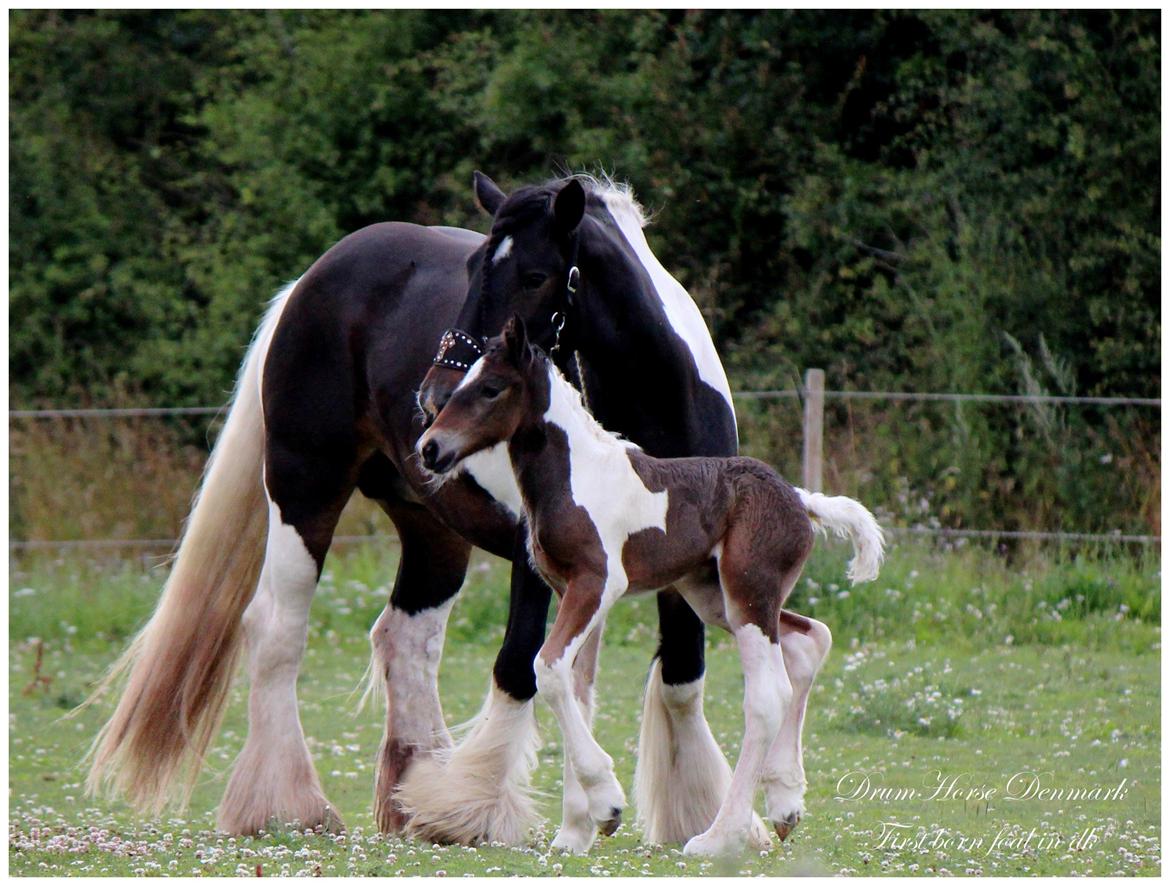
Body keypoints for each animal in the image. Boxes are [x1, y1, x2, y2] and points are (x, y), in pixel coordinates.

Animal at [416, 316, 879, 852]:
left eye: (491, 388)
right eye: (463, 383)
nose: (429, 448)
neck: (577, 476)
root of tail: (799, 497)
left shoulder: (596, 584)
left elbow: (548, 670)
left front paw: (606, 799)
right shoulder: (571, 592)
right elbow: (577, 686)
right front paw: (578, 830)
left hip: (747, 596)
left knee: (766, 698)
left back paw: (717, 837)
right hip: (714, 597)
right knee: (809, 640)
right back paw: (785, 801)